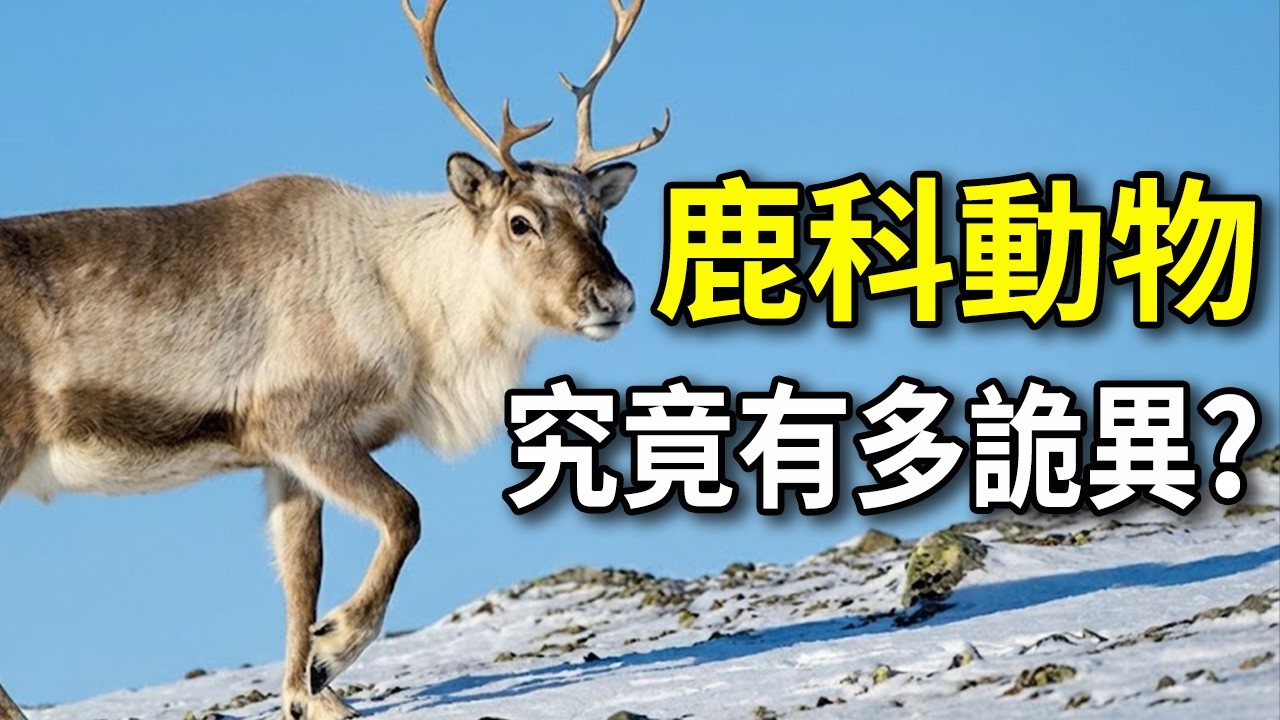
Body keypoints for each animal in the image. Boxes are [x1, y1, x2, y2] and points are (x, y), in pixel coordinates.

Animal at [0, 1, 667, 717]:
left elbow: (302, 572)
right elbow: (404, 513)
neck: (408, 300)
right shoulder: (303, 424)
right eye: (520, 221)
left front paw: (308, 693)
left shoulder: (280, 459)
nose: (615, 297)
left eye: (600, 218)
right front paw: (334, 648)